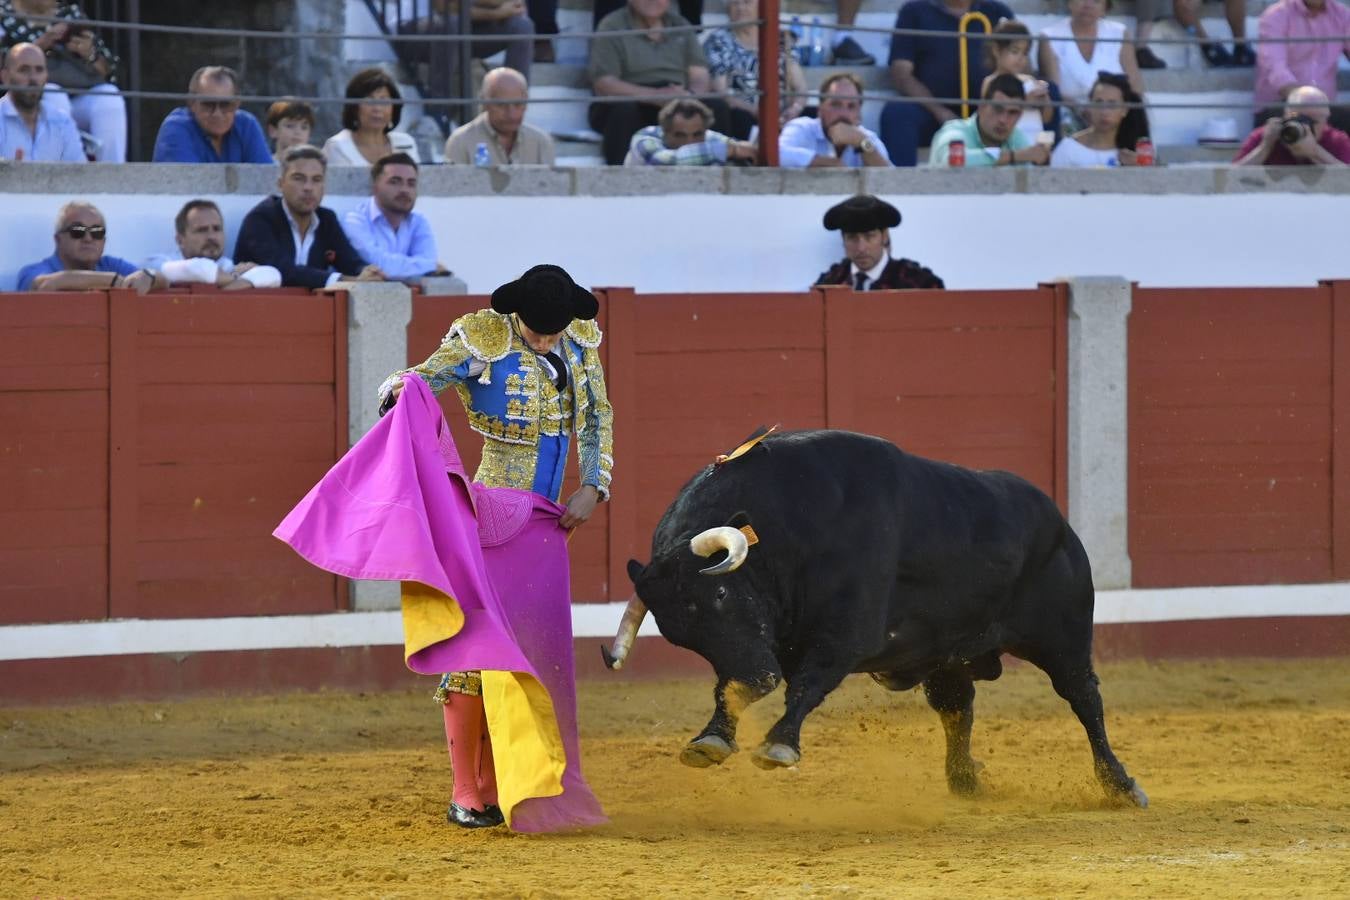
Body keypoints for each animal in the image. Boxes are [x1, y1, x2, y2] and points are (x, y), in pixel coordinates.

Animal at [607, 429, 1144, 809]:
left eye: (720, 592)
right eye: (682, 637)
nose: (758, 677)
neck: (789, 530)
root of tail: (1057, 519)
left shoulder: (845, 637)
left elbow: (807, 685)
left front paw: (778, 746)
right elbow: (730, 689)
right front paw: (711, 739)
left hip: (1063, 639)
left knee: (1085, 700)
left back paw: (1120, 786)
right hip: (948, 655)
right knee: (957, 709)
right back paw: (965, 779)